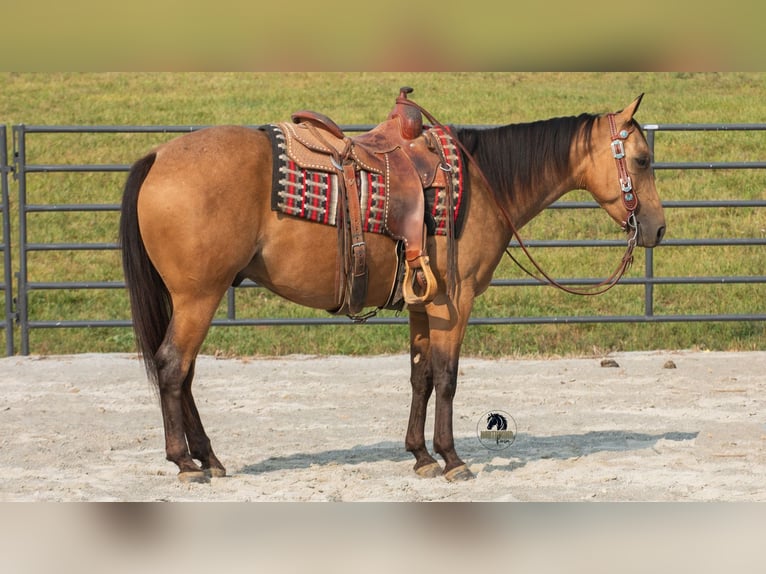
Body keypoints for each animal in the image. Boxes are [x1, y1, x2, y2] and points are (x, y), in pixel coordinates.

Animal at [119, 93, 665, 483]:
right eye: (641, 159)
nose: (658, 229)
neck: (481, 186)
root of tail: (159, 154)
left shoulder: (423, 303)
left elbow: (420, 375)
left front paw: (420, 455)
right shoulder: (454, 301)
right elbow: (446, 376)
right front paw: (452, 458)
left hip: (193, 299)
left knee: (185, 374)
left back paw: (208, 458)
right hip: (199, 297)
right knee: (173, 366)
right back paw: (185, 463)